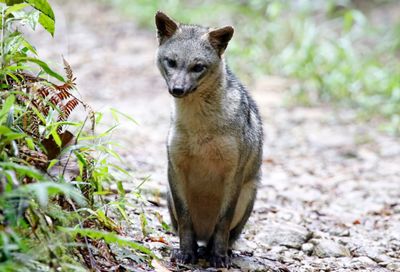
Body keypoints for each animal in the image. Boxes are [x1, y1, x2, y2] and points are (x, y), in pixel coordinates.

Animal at [155, 11, 264, 268]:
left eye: (198, 67)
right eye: (171, 62)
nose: (177, 89)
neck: (200, 129)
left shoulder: (233, 173)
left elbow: (223, 223)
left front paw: (219, 256)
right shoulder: (175, 167)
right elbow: (185, 221)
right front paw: (186, 252)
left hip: (248, 193)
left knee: (223, 235)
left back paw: (219, 251)